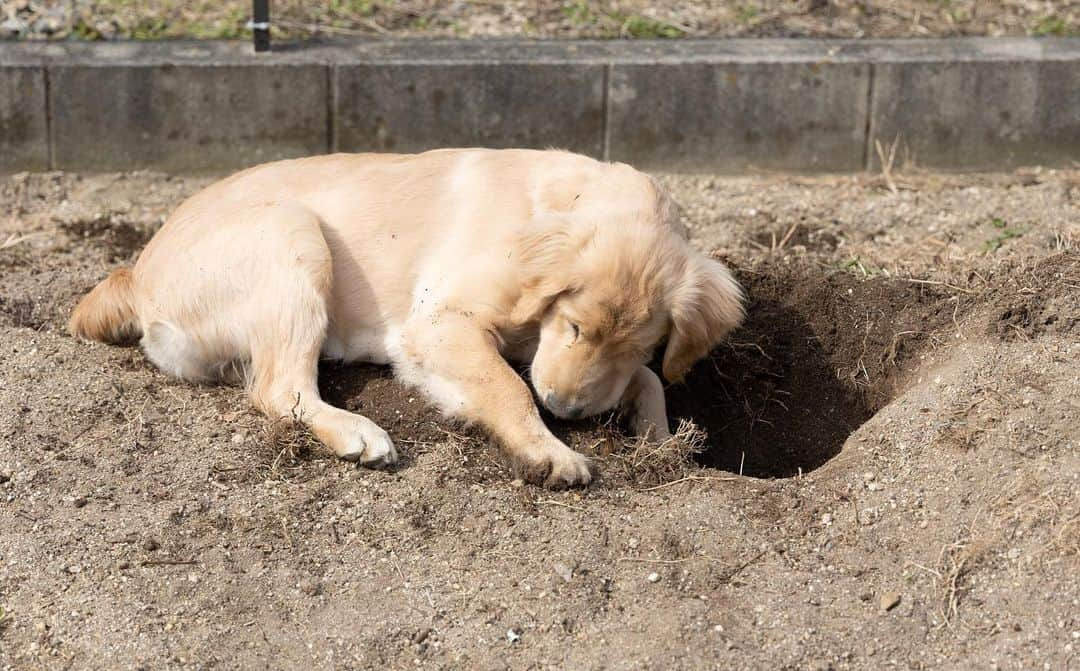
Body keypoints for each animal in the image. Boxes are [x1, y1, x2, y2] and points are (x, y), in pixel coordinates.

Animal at [69, 149, 743, 486]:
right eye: (575, 324)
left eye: (638, 343)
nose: (568, 412)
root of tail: (137, 271)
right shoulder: (438, 322)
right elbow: (507, 388)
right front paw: (549, 452)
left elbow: (650, 379)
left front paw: (660, 439)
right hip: (293, 236)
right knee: (279, 388)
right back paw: (356, 432)